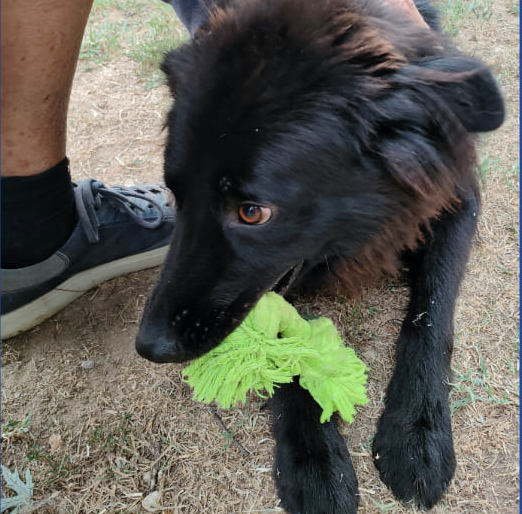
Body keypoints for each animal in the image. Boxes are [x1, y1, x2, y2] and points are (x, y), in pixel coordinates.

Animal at [134, 2, 500, 510]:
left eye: (252, 212)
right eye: (175, 194)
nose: (149, 346)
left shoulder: (456, 197)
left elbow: (432, 311)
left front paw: (418, 428)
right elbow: (280, 343)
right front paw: (313, 461)